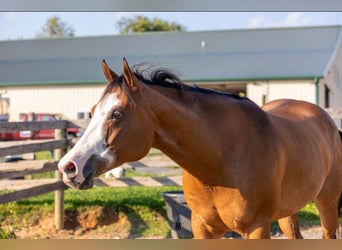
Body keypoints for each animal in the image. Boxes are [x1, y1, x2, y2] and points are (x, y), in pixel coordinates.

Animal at [57, 58, 340, 238]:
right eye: (92, 112)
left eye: (117, 114)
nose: (69, 167)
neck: (223, 159)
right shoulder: (203, 228)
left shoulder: (257, 229)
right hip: (288, 213)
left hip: (327, 205)